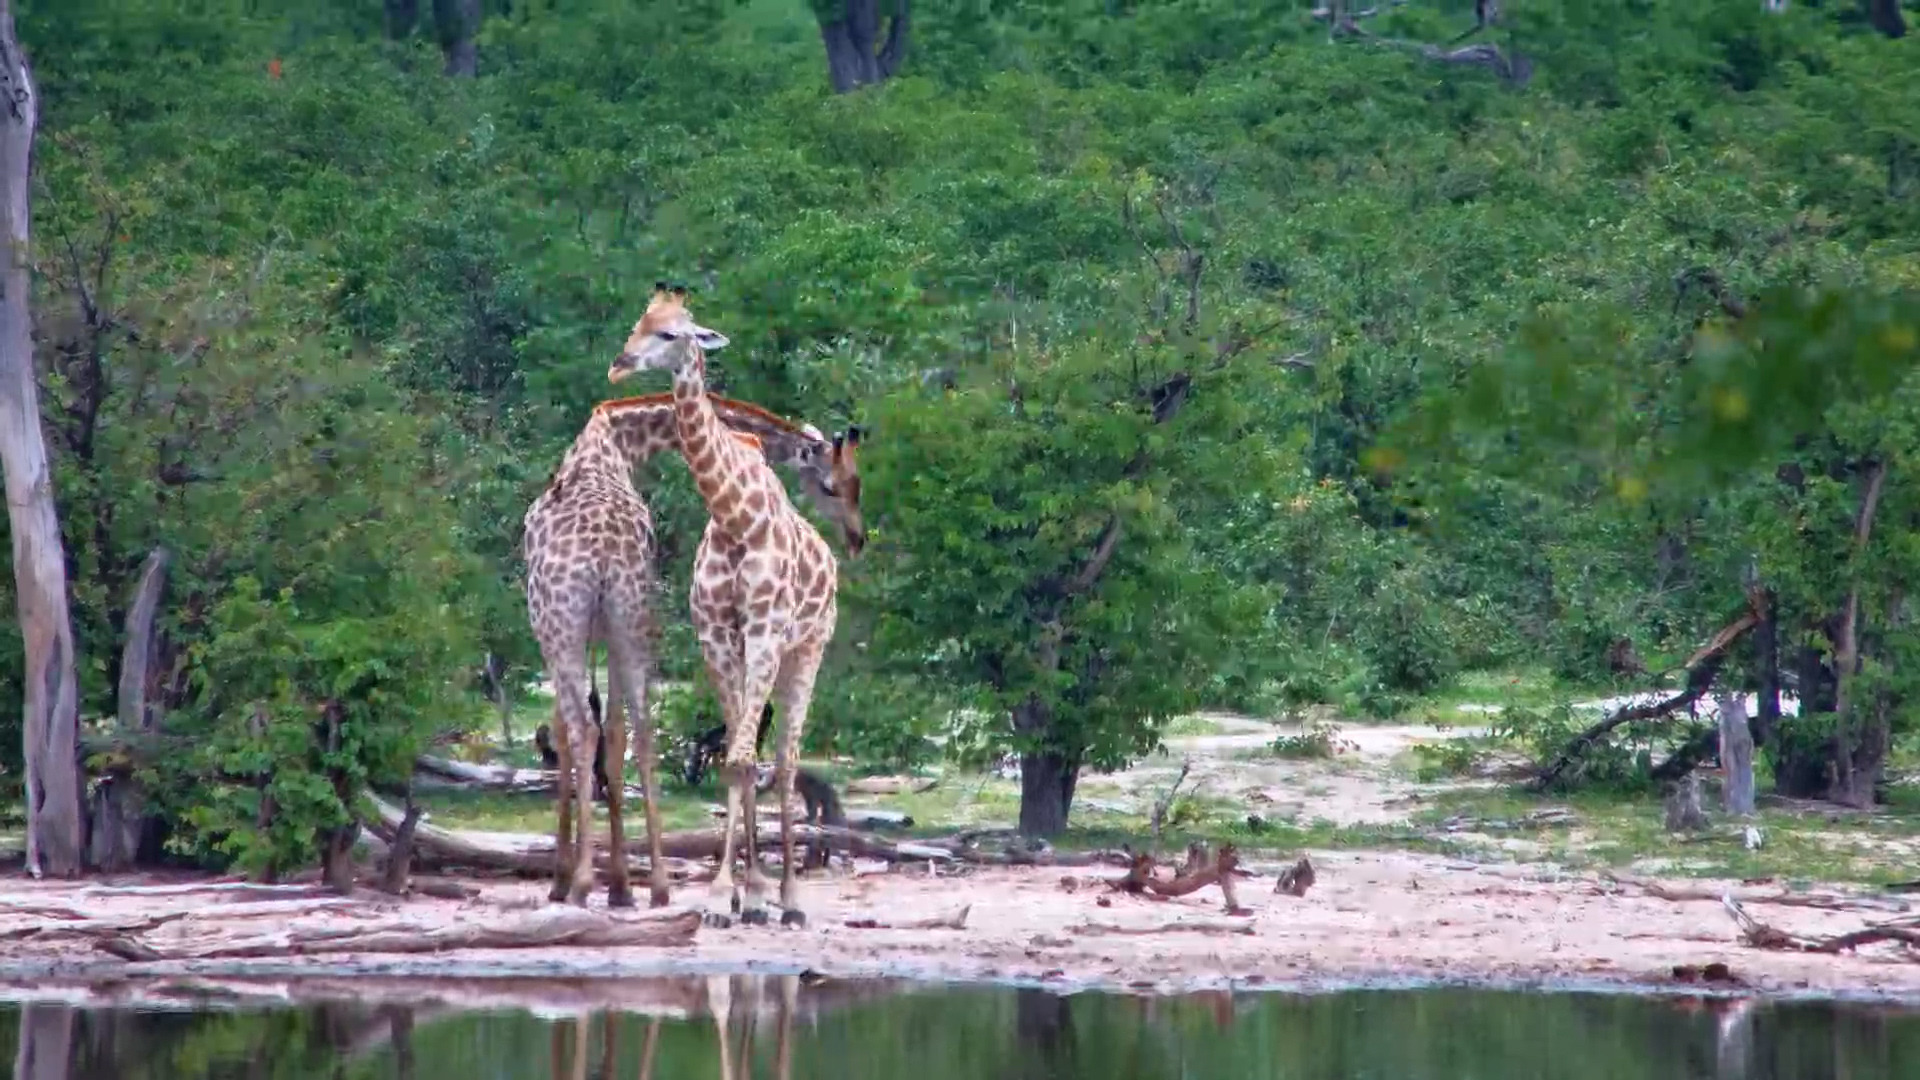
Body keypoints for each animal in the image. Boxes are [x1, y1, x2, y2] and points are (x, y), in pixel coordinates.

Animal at [523, 391, 862, 907]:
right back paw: (655, 885)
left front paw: (564, 879)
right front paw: (621, 883)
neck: (616, 442)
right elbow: (618, 733)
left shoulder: (560, 628)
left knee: (584, 728)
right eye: (832, 484)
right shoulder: (615, 629)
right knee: (640, 730)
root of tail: (601, 555)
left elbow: (567, 731)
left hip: (563, 622)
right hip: (631, 616)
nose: (858, 537)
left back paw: (583, 883)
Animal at [608, 283, 864, 929]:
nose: (619, 364)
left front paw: (748, 893)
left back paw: (791, 898)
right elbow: (734, 759)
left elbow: (751, 758)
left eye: (672, 333)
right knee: (759, 755)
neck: (733, 517)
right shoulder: (717, 637)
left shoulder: (769, 631)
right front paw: (729, 895)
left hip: (806, 650)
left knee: (788, 759)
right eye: (638, 322)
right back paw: (758, 895)